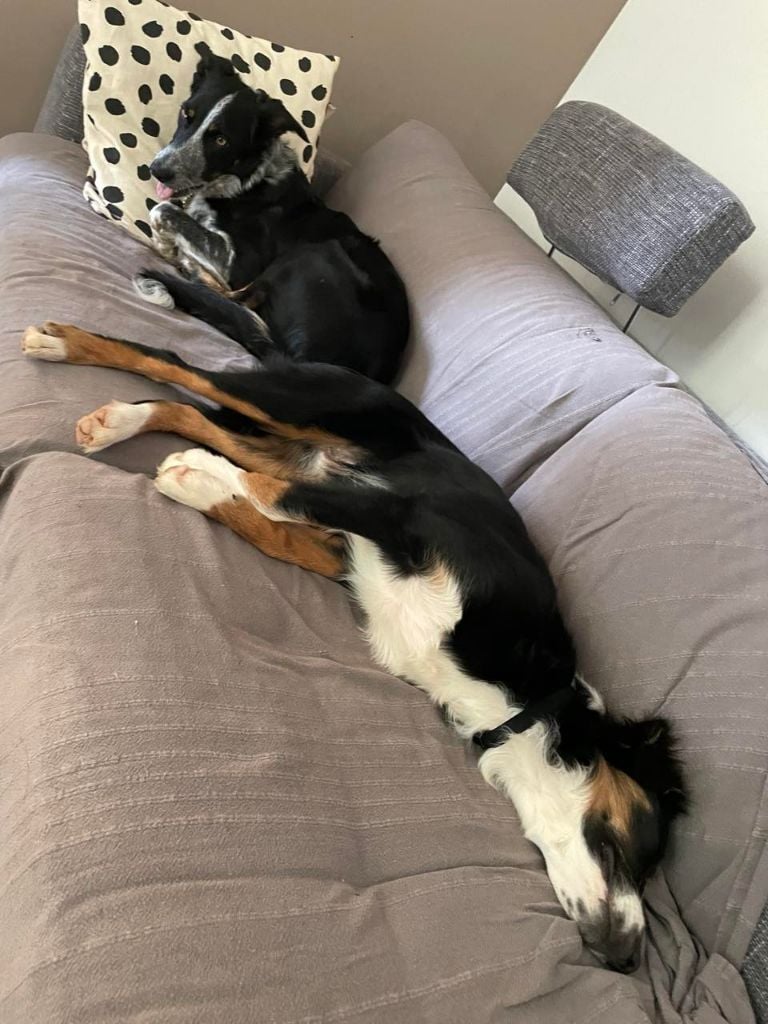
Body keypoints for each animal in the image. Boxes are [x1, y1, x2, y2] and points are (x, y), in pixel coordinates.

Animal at [22, 320, 687, 973]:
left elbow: (271, 522)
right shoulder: (398, 512)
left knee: (194, 414)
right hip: (304, 403)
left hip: (287, 440)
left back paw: (123, 421)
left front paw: (194, 483)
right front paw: (205, 474)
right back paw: (64, 345)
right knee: (175, 363)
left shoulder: (348, 552)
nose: (627, 961)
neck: (516, 702)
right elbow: (276, 494)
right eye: (650, 847)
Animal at [133, 52, 409, 385]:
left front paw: (170, 246)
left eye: (221, 140)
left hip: (315, 253)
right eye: (187, 114)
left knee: (236, 300)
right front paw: (167, 243)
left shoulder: (236, 264)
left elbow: (163, 210)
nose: (157, 170)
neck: (249, 180)